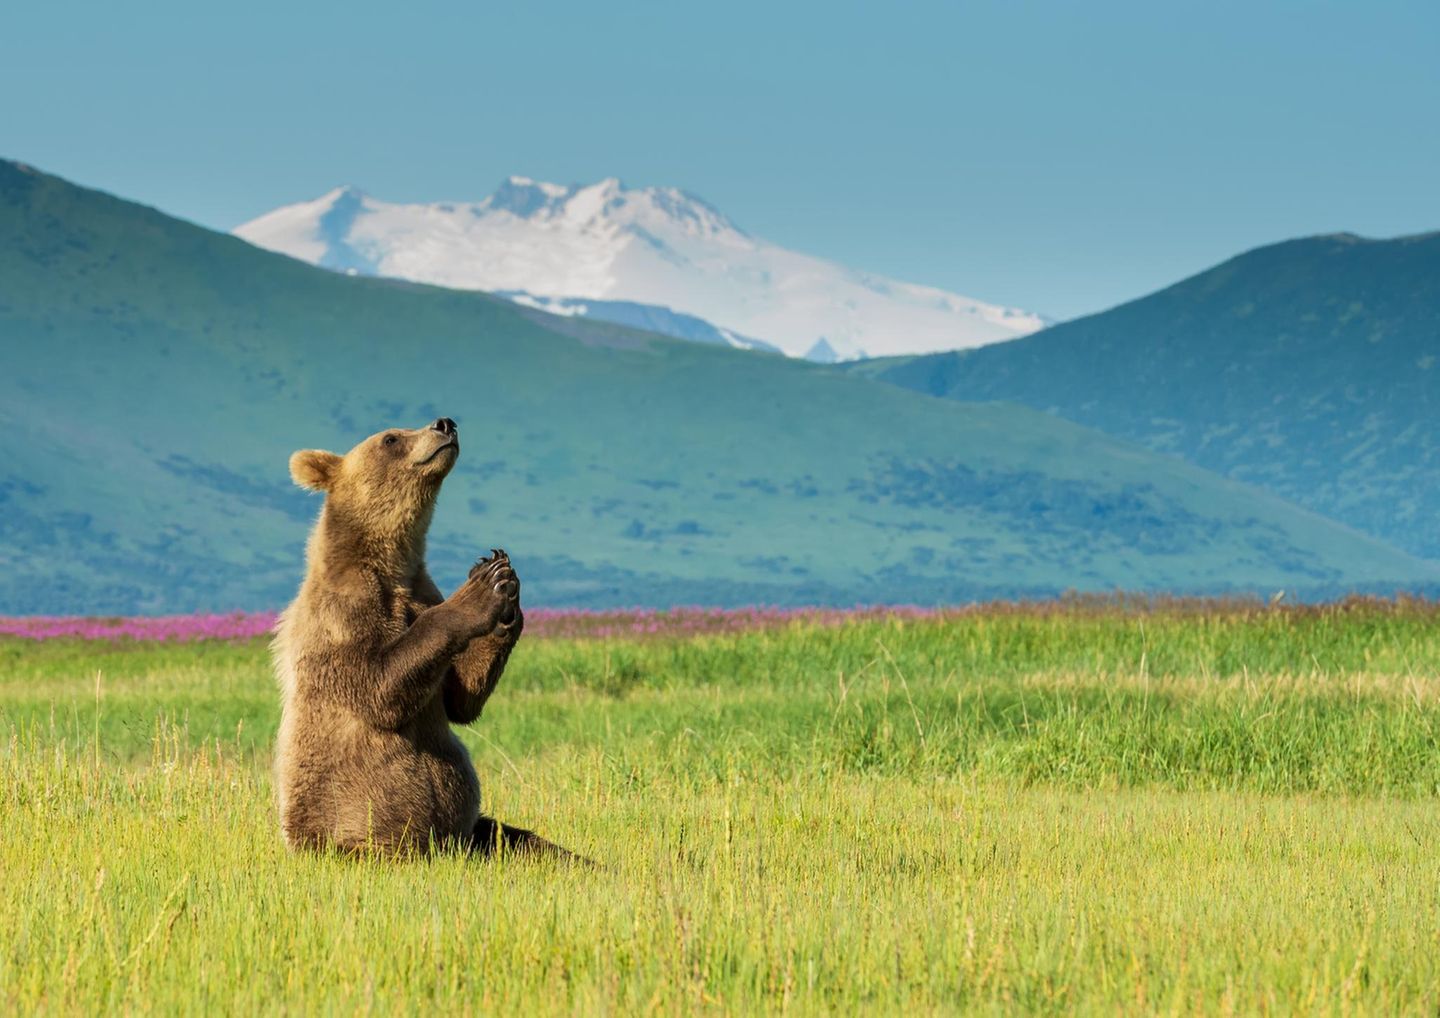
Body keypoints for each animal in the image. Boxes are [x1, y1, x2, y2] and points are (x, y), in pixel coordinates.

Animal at [271, 416, 571, 859]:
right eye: (391, 438)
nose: (444, 424)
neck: (393, 567)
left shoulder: (421, 590)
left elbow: (459, 698)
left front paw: (503, 580)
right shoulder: (342, 611)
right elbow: (378, 684)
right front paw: (481, 590)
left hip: (477, 834)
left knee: (522, 841)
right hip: (356, 834)